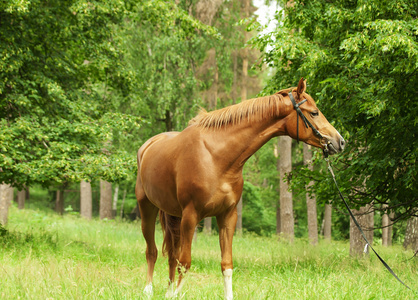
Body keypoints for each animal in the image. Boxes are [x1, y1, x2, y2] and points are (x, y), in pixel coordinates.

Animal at [136, 78, 344, 298]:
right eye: (314, 112)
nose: (340, 142)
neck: (216, 156)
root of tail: (148, 145)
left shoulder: (228, 215)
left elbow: (226, 265)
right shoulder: (190, 216)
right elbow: (185, 263)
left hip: (173, 214)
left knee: (171, 253)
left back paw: (167, 292)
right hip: (147, 209)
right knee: (152, 251)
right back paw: (148, 290)